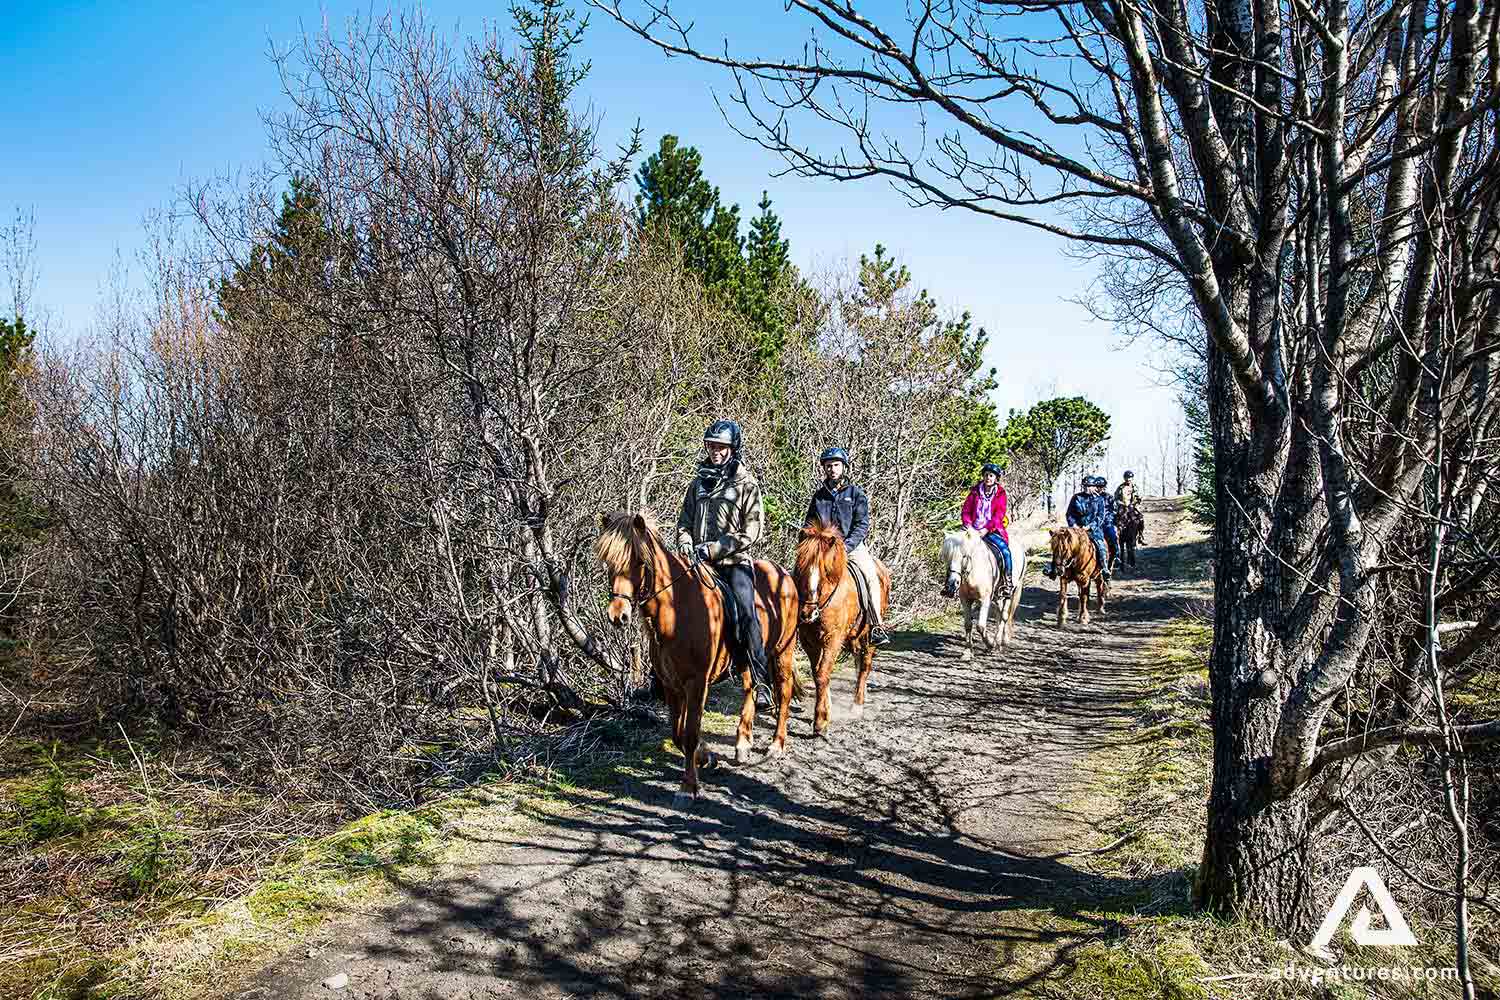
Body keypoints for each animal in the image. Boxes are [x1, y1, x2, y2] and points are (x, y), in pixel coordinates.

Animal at [596, 511, 802, 799]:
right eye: (608, 562)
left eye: (639, 561)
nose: (618, 615)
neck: (677, 610)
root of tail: (783, 573)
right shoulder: (671, 685)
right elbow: (678, 733)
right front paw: (706, 757)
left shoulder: (697, 683)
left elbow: (691, 732)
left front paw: (689, 786)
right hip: (745, 660)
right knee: (749, 688)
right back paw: (743, 742)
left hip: (783, 650)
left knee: (782, 691)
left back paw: (776, 745)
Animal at [793, 520, 892, 736]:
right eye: (800, 569)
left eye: (824, 573)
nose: (807, 614)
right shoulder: (809, 641)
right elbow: (819, 673)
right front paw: (826, 710)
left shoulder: (833, 638)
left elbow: (823, 673)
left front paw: (820, 721)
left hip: (869, 637)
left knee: (865, 666)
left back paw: (857, 705)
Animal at [939, 529, 1023, 661]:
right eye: (946, 557)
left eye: (964, 556)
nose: (952, 584)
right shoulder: (965, 600)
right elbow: (968, 625)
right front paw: (967, 652)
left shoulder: (985, 600)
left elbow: (980, 626)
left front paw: (990, 644)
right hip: (998, 597)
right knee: (999, 614)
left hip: (1011, 592)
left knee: (1004, 616)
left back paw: (998, 643)